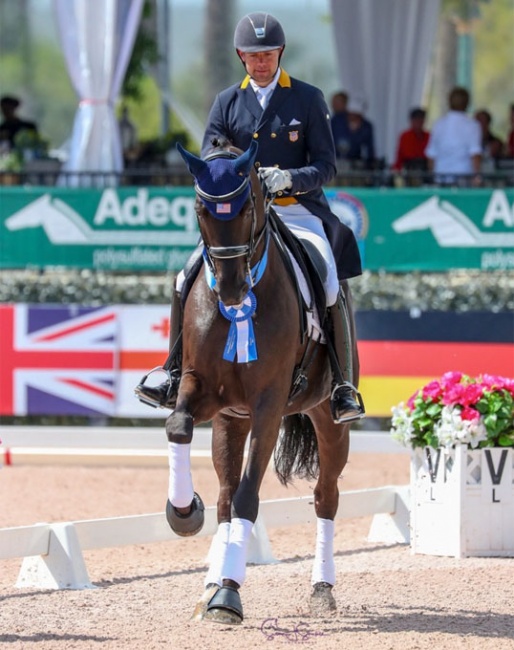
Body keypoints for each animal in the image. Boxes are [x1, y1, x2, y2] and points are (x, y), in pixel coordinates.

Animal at [166, 138, 358, 624]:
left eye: (249, 204)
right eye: (200, 207)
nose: (232, 291)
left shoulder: (269, 406)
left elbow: (248, 498)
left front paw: (229, 596)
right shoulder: (201, 389)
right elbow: (178, 427)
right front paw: (183, 513)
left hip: (327, 419)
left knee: (325, 497)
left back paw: (321, 589)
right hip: (231, 420)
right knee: (223, 496)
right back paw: (210, 576)